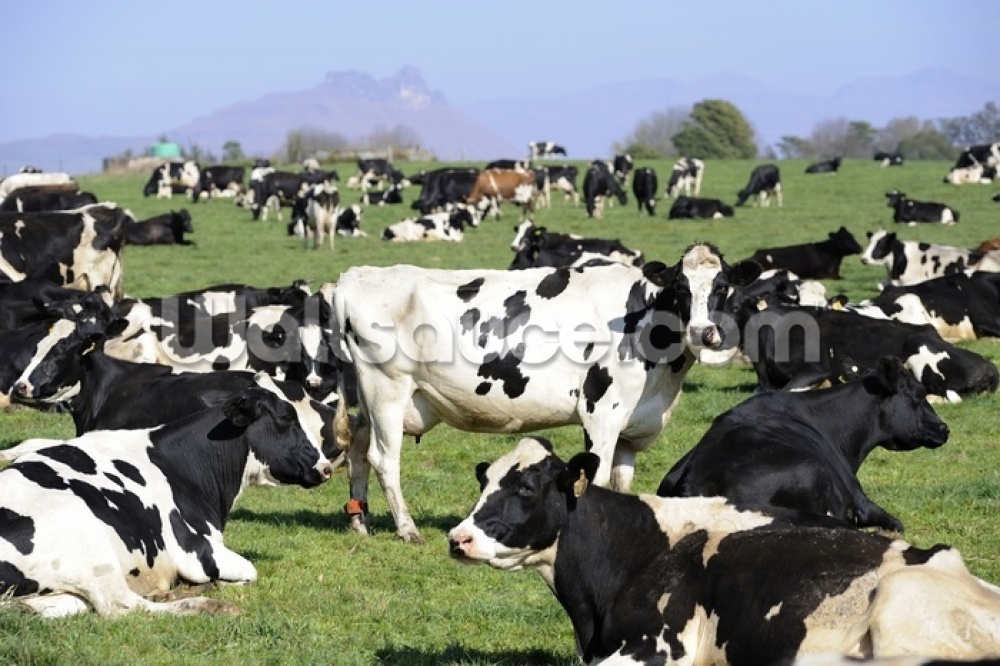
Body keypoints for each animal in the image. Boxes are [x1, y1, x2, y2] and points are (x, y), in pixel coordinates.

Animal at [0, 377, 332, 617]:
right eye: (287, 418)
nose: (326, 466)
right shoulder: (198, 551)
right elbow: (250, 571)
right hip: (91, 546)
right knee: (123, 607)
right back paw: (203, 604)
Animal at [330, 244, 762, 542]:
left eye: (722, 287)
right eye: (680, 288)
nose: (703, 332)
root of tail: (357, 275)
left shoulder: (632, 428)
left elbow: (622, 481)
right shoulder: (601, 413)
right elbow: (598, 477)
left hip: (373, 399)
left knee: (357, 451)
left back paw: (359, 521)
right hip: (386, 389)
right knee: (384, 459)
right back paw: (407, 529)